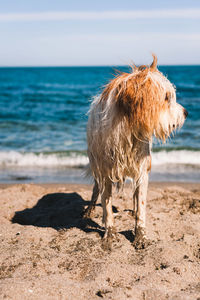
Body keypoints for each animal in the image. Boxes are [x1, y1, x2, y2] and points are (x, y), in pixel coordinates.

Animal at [83, 55, 188, 247]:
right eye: (166, 97)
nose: (186, 113)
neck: (127, 128)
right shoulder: (105, 171)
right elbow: (106, 204)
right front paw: (110, 233)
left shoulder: (142, 169)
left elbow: (141, 206)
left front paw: (140, 235)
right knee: (96, 190)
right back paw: (89, 210)